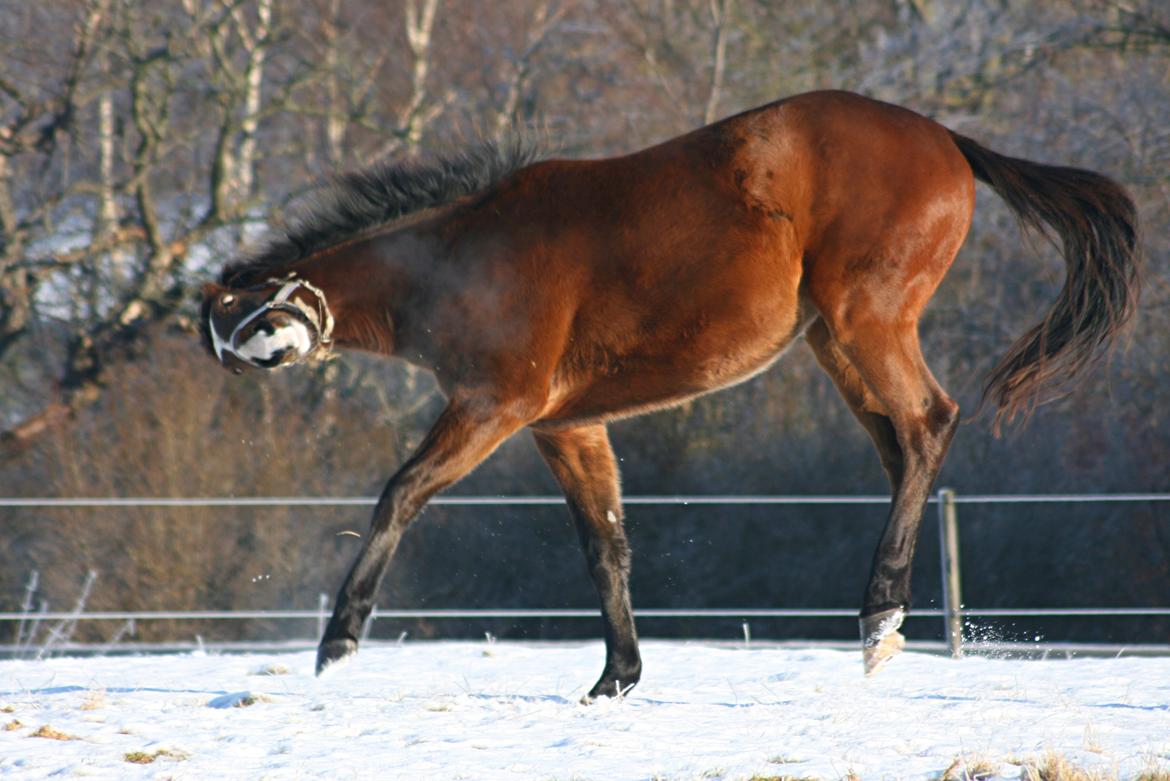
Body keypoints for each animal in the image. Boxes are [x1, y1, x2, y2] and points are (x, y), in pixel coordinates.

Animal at [203, 91, 1141, 701]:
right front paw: (617, 676)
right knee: (900, 446)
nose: (248, 366)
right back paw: (886, 615)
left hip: (867, 319)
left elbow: (401, 493)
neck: (459, 259)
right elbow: (605, 548)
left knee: (927, 425)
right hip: (835, 341)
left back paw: (879, 620)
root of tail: (944, 137)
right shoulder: (567, 425)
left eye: (244, 312)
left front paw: (339, 642)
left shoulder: (495, 406)